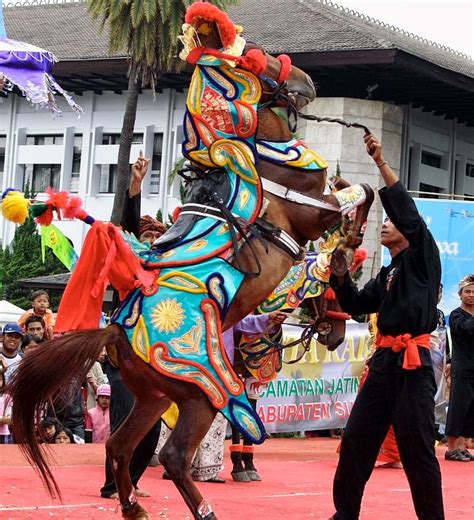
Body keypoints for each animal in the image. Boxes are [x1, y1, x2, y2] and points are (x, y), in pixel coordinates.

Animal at [7, 4, 372, 520]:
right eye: (252, 55)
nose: (306, 82)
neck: (255, 159)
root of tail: (114, 331)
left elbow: (355, 190)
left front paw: (348, 241)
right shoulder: (310, 210)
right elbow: (360, 192)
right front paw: (348, 241)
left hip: (156, 396)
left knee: (120, 446)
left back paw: (134, 507)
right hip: (202, 394)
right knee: (173, 456)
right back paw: (201, 509)